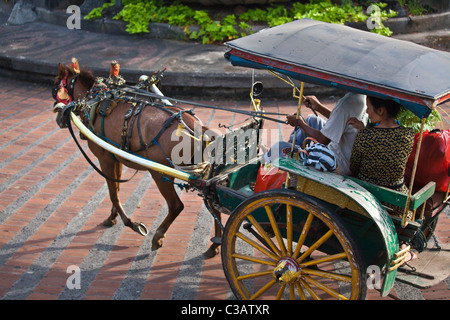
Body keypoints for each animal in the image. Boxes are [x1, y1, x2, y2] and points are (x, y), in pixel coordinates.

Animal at [52, 62, 221, 258]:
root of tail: (197, 128)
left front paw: (132, 224)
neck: (94, 101)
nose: (58, 115)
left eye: (56, 86)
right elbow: (116, 190)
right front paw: (112, 217)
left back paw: (158, 237)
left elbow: (113, 194)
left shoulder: (104, 159)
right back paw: (215, 245)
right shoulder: (116, 158)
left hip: (160, 173)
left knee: (176, 206)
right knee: (214, 205)